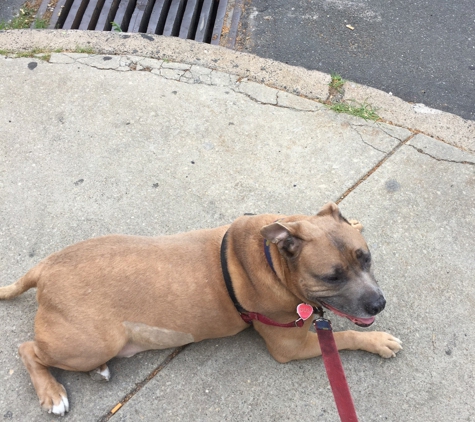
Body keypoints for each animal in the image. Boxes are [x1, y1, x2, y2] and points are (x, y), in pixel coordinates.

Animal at [0, 204, 402, 416]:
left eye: (365, 258)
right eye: (332, 277)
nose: (378, 303)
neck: (273, 257)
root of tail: (44, 269)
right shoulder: (291, 346)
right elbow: (345, 336)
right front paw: (378, 341)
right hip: (91, 342)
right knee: (28, 349)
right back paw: (52, 392)